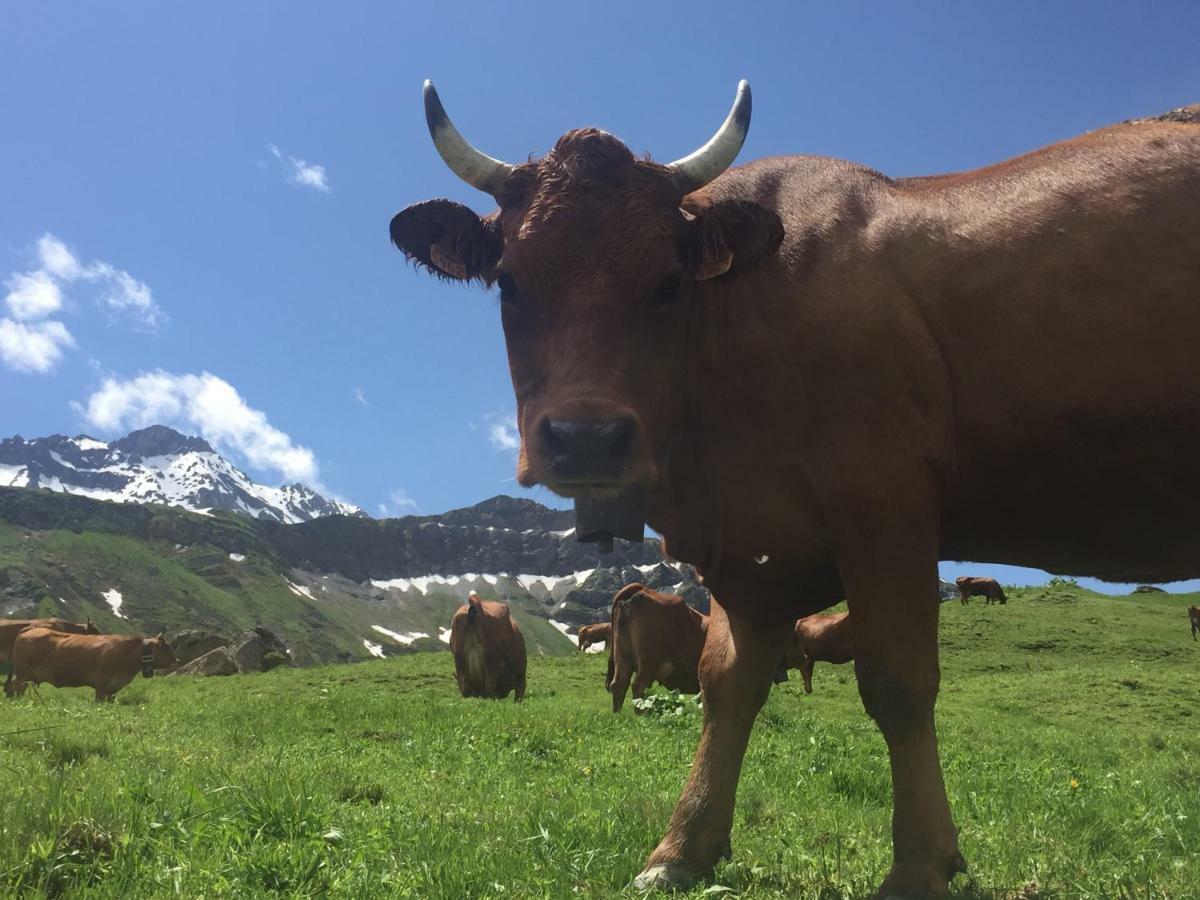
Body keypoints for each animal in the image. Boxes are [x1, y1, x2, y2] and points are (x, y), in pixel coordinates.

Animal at [8, 628, 175, 705]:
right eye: (166, 646)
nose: (176, 659)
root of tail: (31, 628)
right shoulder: (101, 684)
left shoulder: (113, 688)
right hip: (23, 675)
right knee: (14, 689)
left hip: (26, 677)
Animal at [391, 81, 1200, 897]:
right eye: (509, 283)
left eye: (668, 283)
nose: (585, 438)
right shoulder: (751, 545)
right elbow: (726, 683)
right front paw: (682, 847)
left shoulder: (886, 507)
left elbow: (898, 683)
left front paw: (921, 864)